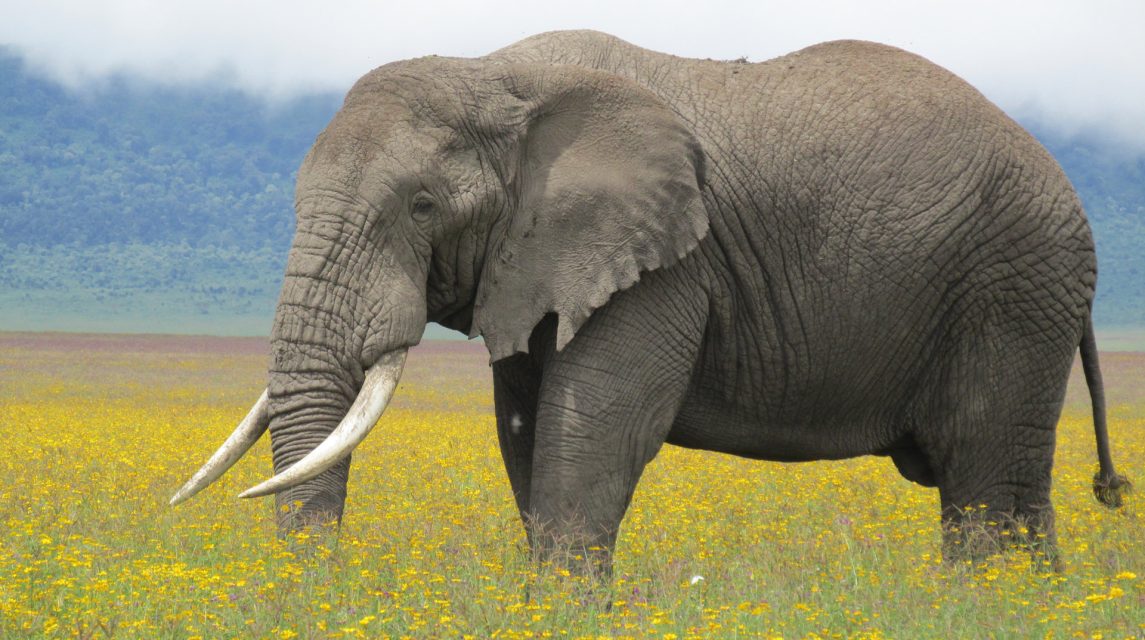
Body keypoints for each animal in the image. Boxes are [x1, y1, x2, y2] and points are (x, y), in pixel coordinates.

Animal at [169, 30, 1126, 570]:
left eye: (422, 207)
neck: (498, 77)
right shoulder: (536, 265)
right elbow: (525, 434)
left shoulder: (664, 261)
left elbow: (596, 429)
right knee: (1010, 491)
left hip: (1013, 287)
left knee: (982, 483)